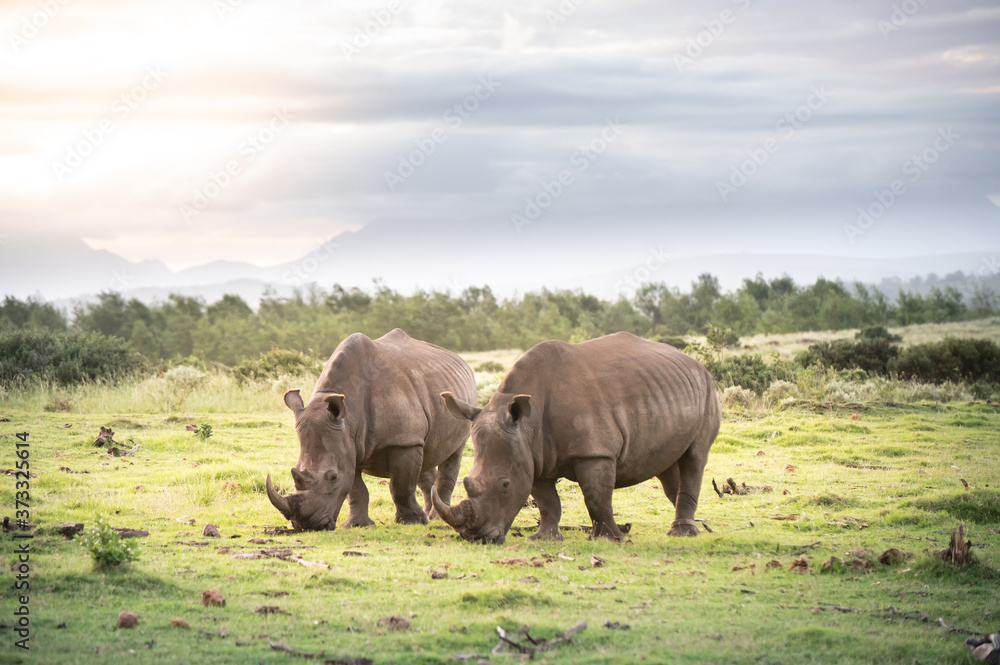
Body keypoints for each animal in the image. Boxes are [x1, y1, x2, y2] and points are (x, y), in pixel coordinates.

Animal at [266, 329, 476, 531]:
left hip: (459, 408)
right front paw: (357, 524)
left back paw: (436, 518)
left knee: (453, 454)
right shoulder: (349, 445)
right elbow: (356, 489)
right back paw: (430, 515)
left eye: (333, 477)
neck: (349, 416)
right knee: (428, 455)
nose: (306, 525)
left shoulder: (403, 441)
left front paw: (411, 522)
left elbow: (401, 486)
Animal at [432, 332, 720, 544]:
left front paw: (609, 540)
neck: (526, 425)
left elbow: (596, 497)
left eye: (505, 485)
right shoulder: (532, 455)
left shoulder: (594, 452)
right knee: (668, 465)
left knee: (695, 457)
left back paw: (682, 533)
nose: (476, 537)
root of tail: (696, 364)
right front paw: (545, 539)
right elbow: (547, 501)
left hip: (708, 391)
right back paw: (689, 526)